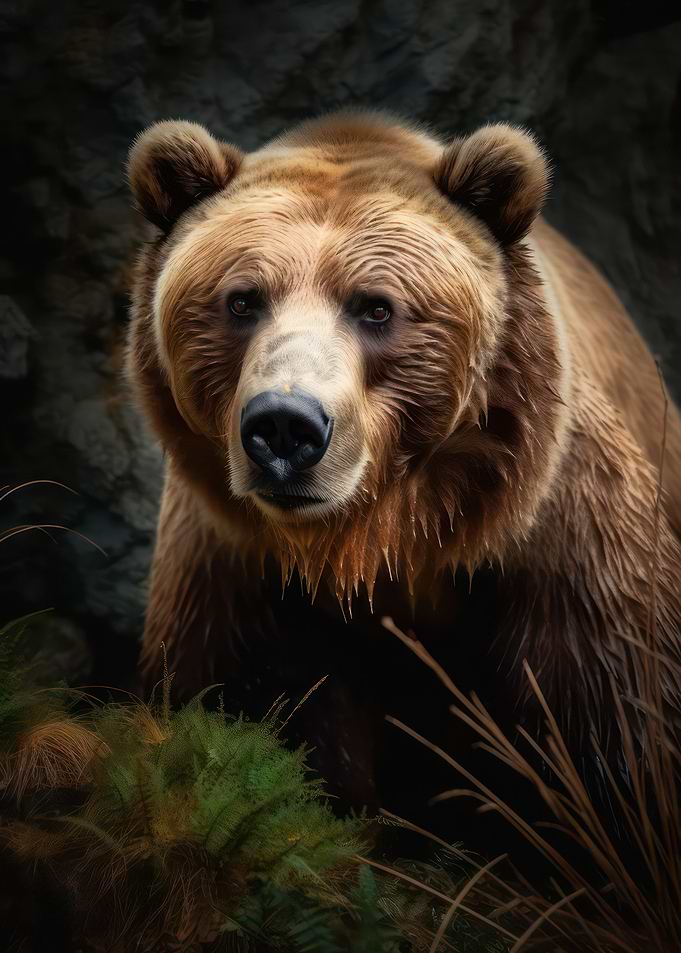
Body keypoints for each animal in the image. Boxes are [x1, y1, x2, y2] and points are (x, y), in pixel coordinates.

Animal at [125, 110, 681, 835]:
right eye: (243, 300)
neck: (383, 541)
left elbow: (615, 714)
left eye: (376, 306)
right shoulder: (237, 577)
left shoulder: (563, 545)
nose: (285, 427)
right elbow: (243, 703)